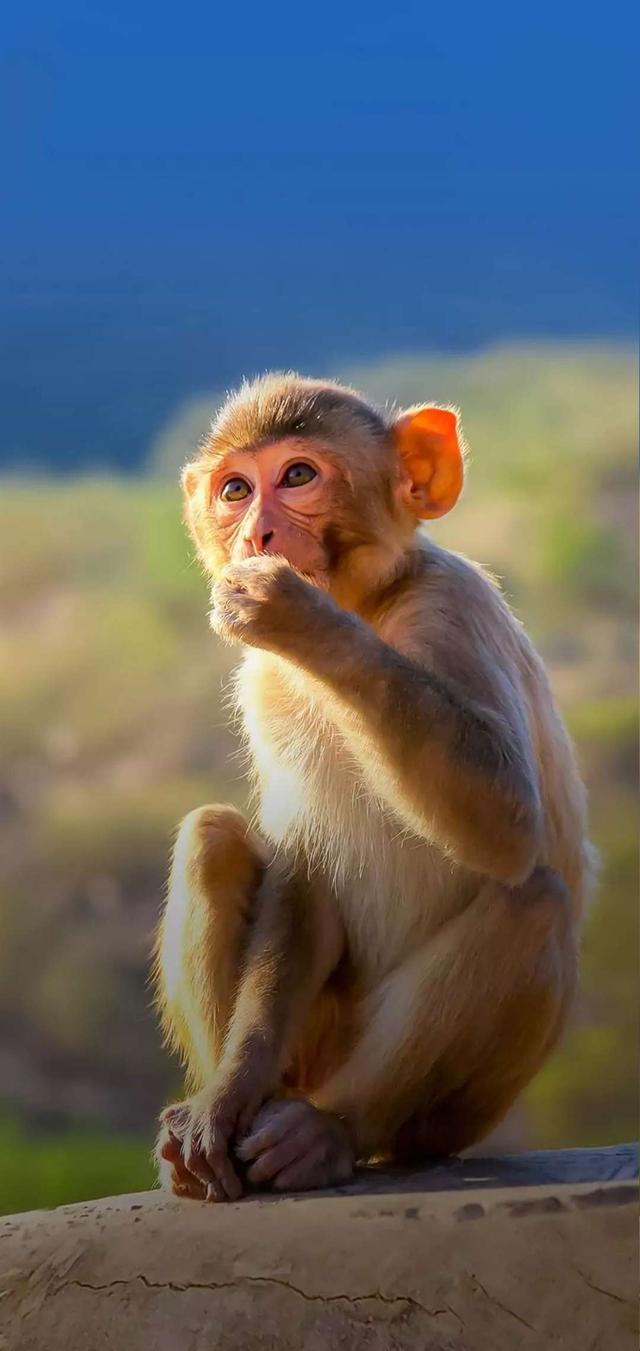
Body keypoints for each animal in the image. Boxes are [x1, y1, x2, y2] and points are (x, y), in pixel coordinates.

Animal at [153, 372, 593, 1201]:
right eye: (235, 490)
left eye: (298, 475)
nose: (258, 534)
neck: (372, 604)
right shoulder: (263, 686)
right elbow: (302, 875)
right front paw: (225, 1096)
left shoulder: (454, 607)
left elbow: (508, 818)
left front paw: (299, 616)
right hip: (314, 1045)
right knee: (210, 835)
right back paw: (236, 1119)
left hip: (463, 1109)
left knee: (533, 900)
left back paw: (329, 1133)